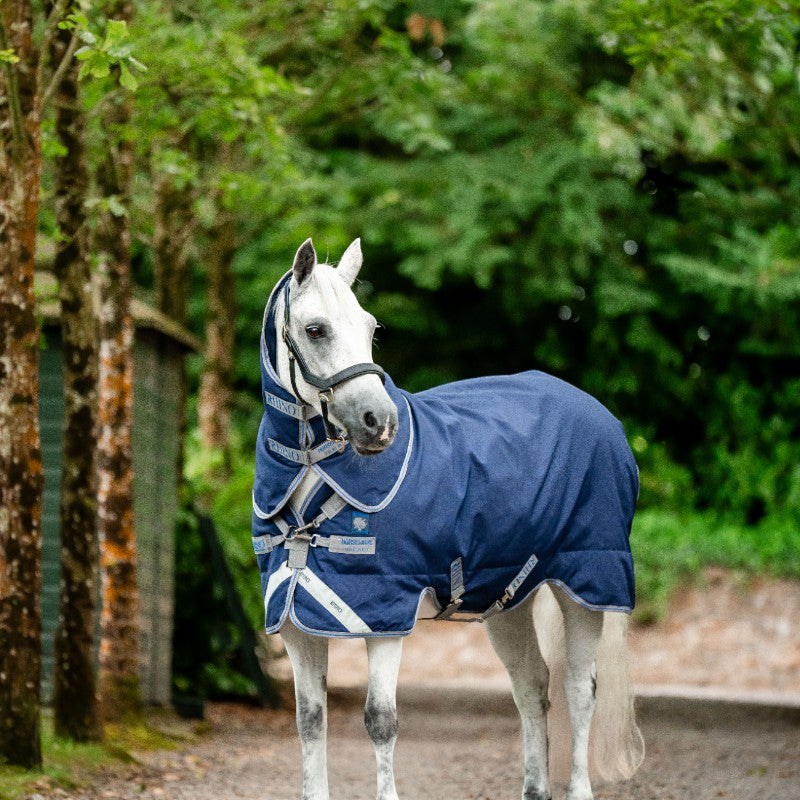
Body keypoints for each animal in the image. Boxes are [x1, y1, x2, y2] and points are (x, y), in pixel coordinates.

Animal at [251, 237, 644, 800]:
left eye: (370, 327)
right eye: (315, 329)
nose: (379, 423)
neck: (314, 474)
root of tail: (603, 418)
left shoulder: (383, 616)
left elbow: (380, 722)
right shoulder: (296, 623)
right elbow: (310, 723)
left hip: (587, 584)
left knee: (580, 689)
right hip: (510, 600)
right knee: (532, 686)